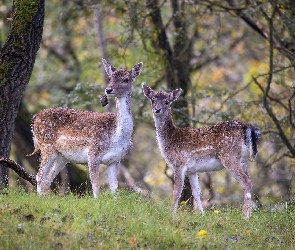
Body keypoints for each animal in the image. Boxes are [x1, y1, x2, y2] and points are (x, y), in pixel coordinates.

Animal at [28, 58, 143, 197]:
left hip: (62, 156)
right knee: (39, 176)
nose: (108, 90)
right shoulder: (93, 153)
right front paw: (97, 201)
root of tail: (35, 119)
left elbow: (114, 189)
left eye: (126, 79)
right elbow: (96, 186)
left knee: (47, 178)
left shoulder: (115, 159)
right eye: (110, 78)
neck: (116, 135)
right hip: (46, 146)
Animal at [143, 83, 262, 217]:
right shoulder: (192, 170)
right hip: (244, 160)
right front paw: (202, 215)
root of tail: (249, 128)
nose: (157, 109)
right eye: (152, 100)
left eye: (167, 102)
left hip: (230, 157)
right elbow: (196, 192)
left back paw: (245, 216)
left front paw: (171, 215)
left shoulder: (179, 164)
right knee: (250, 180)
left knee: (246, 182)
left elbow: (177, 191)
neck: (169, 139)